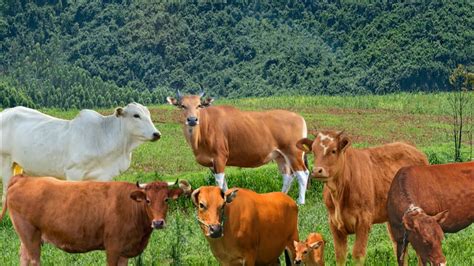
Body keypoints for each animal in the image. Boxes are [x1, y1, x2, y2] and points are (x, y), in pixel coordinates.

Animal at [0, 102, 161, 202]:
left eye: (149, 115)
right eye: (136, 115)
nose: (156, 134)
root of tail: (6, 111)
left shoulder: (103, 176)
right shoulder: (74, 172)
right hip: (5, 162)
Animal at [0, 176, 193, 264]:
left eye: (166, 199)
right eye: (148, 200)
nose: (158, 222)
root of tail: (24, 178)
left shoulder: (124, 252)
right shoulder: (113, 248)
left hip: (27, 239)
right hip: (30, 236)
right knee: (33, 260)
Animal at [168, 90, 312, 205]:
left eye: (199, 105)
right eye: (183, 106)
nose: (192, 119)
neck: (203, 130)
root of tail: (299, 117)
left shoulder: (219, 157)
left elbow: (219, 182)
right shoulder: (213, 163)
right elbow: (224, 183)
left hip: (293, 152)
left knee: (302, 174)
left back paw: (301, 201)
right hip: (280, 156)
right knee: (287, 176)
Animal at [296, 131, 430, 266]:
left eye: (333, 150)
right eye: (313, 151)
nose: (317, 170)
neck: (339, 194)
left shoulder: (363, 221)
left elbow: (358, 255)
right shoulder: (334, 223)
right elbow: (340, 256)